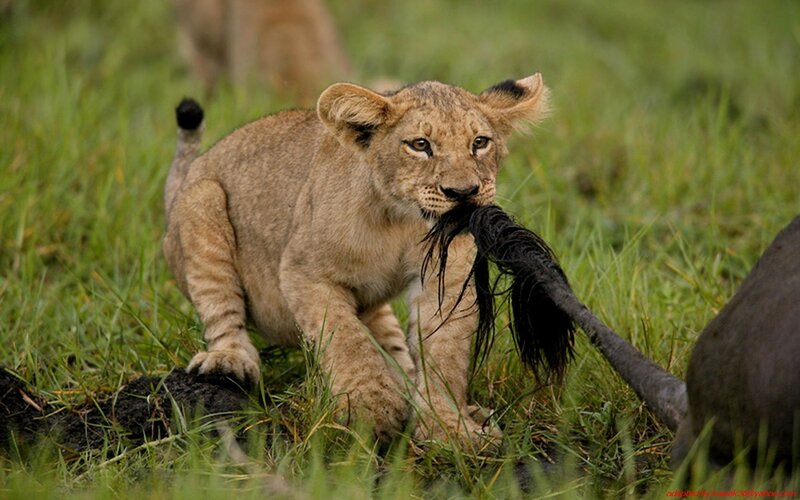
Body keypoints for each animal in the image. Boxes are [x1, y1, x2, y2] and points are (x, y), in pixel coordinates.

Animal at [163, 74, 550, 443]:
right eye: (420, 145)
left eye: (480, 142)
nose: (464, 192)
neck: (401, 220)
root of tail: (191, 172)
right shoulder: (304, 271)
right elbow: (346, 340)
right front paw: (372, 408)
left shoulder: (447, 277)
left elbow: (443, 354)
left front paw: (449, 428)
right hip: (203, 201)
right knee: (222, 313)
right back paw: (229, 361)